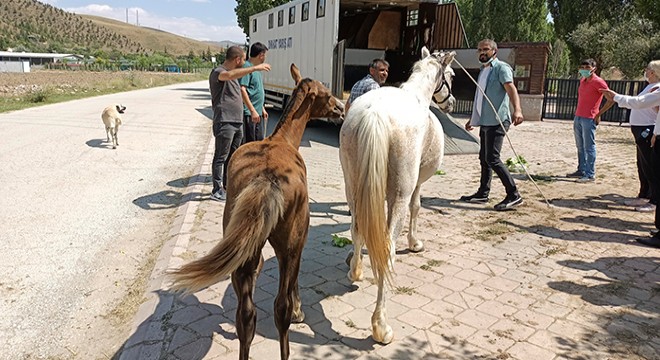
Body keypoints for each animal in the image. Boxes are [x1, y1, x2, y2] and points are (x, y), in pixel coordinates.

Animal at [340, 47, 454, 344]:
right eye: (451, 75)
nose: (451, 104)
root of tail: (375, 115)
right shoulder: (415, 185)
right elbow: (417, 207)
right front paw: (415, 243)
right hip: (398, 195)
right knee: (388, 249)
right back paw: (381, 326)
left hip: (353, 187)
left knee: (357, 229)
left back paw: (355, 271)